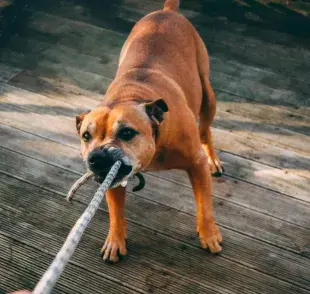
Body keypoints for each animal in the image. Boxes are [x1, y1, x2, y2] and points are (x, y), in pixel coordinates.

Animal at [76, 0, 224, 262]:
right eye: (86, 136)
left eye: (127, 133)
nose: (97, 157)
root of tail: (167, 12)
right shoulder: (113, 180)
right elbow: (116, 211)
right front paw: (115, 240)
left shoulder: (196, 164)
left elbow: (204, 204)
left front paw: (209, 235)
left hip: (208, 95)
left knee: (205, 128)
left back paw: (213, 159)